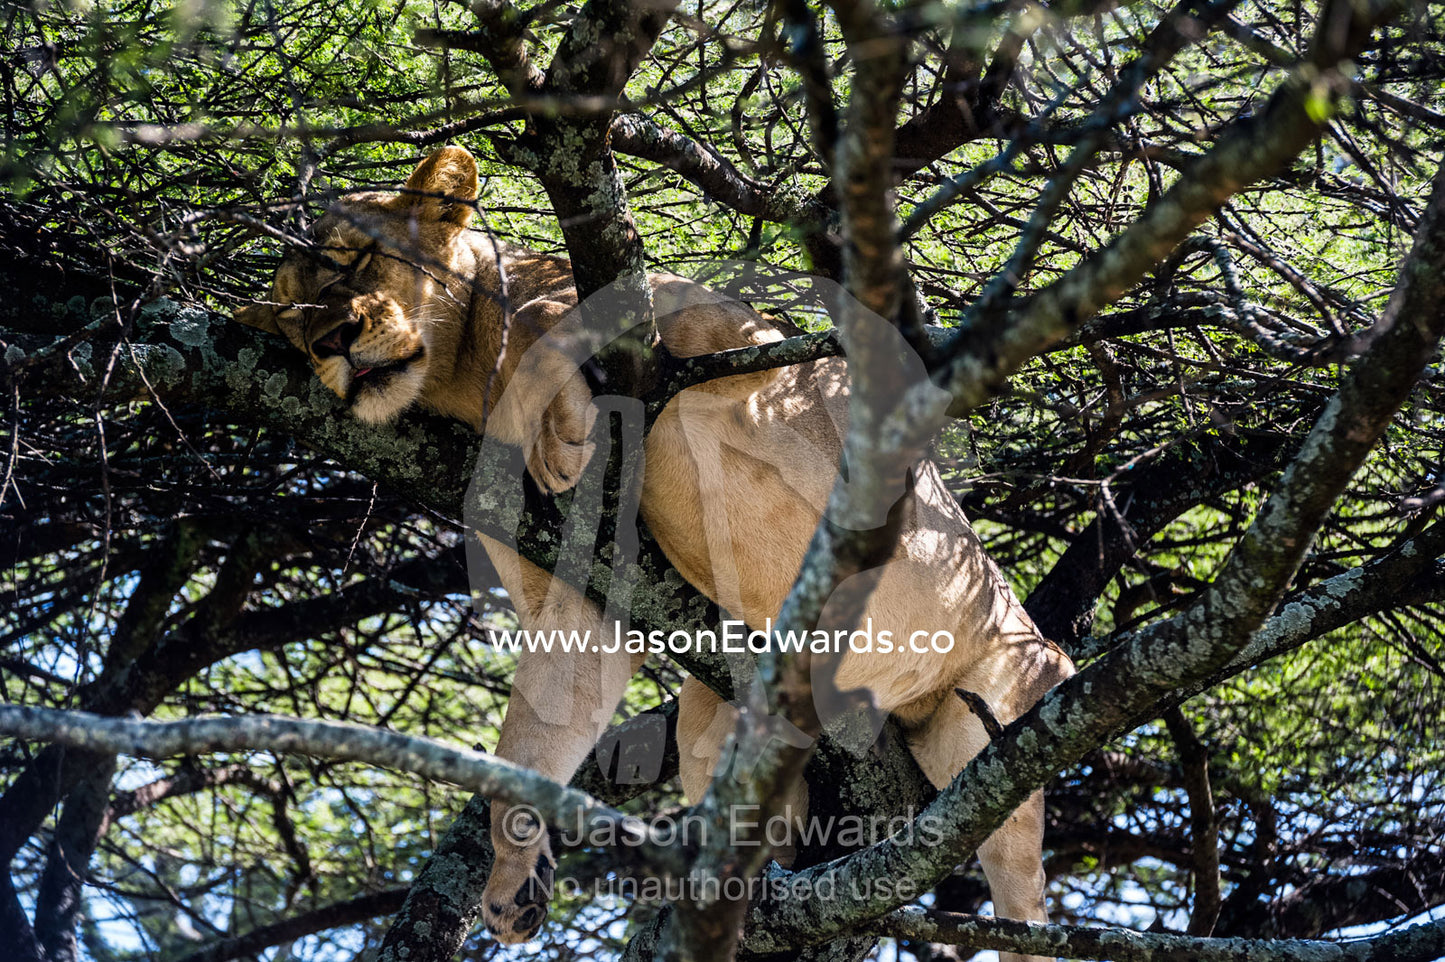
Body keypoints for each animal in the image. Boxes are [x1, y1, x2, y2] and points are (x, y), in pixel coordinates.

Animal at [235, 145, 1073, 962]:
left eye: (355, 258)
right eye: (288, 319)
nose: (328, 343)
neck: (463, 378)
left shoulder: (737, 347)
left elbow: (543, 319)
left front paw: (557, 432)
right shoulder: (585, 601)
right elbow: (533, 735)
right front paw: (510, 882)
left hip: (996, 721)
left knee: (1019, 896)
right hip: (716, 721)